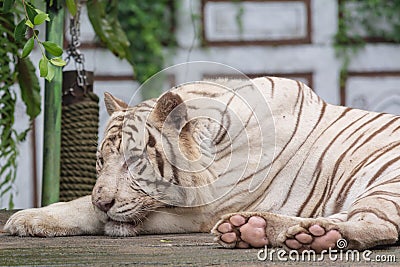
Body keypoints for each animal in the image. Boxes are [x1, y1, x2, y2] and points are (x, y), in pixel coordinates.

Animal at [3, 77, 400, 253]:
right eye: (101, 162)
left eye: (135, 162)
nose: (104, 201)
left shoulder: (200, 209)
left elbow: (88, 210)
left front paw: (26, 219)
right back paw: (256, 229)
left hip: (385, 181)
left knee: (377, 225)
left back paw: (309, 237)